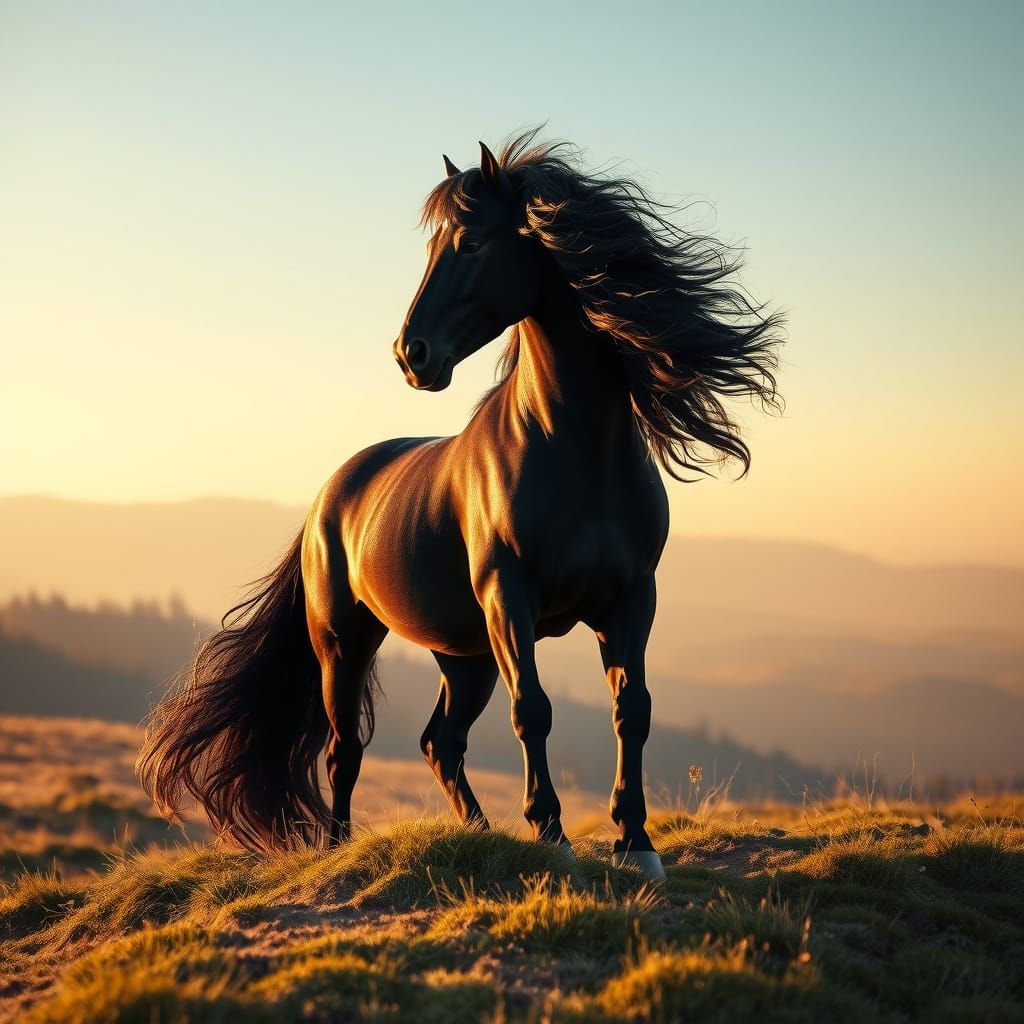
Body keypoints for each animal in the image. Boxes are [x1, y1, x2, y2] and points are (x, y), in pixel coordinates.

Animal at [137, 131, 783, 878]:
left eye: (471, 242)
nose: (410, 354)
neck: (575, 449)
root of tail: (330, 495)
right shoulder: (510, 597)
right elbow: (534, 711)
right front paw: (552, 834)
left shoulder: (631, 598)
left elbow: (633, 709)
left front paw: (636, 843)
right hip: (345, 643)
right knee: (344, 749)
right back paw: (337, 846)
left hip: (465, 656)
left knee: (439, 743)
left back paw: (477, 831)